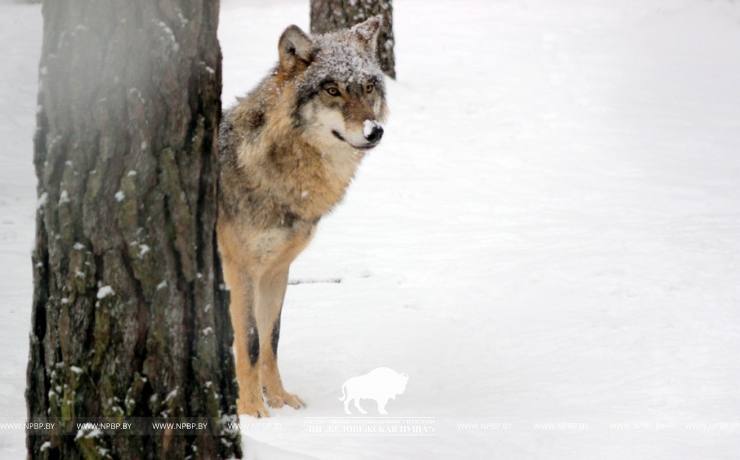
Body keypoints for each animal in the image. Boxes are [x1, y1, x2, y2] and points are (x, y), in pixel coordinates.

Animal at [215, 17, 384, 416]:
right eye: (333, 90)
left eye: (369, 86)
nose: (374, 131)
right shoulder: (240, 270)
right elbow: (249, 343)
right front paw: (251, 410)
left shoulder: (277, 271)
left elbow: (271, 341)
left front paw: (279, 398)